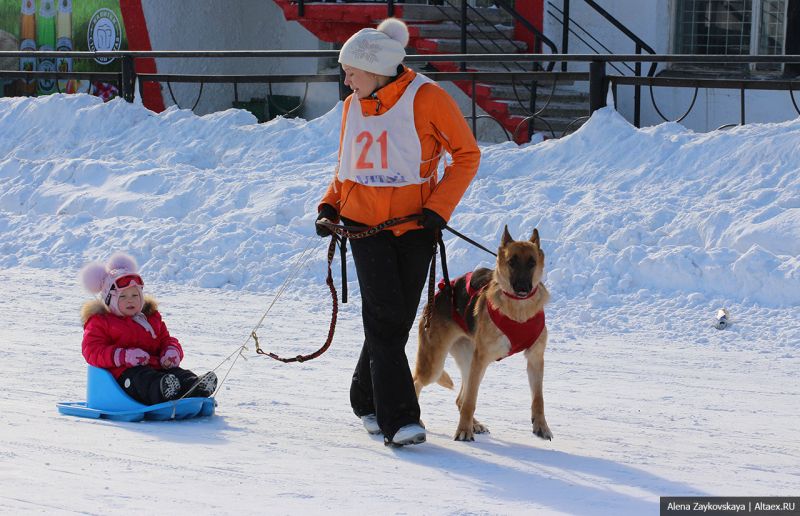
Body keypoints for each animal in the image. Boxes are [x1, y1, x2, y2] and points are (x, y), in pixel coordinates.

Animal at [413, 226, 551, 442]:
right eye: (512, 262)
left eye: (531, 263)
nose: (522, 288)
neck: (518, 311)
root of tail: (438, 294)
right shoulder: (482, 359)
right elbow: (471, 402)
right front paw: (463, 430)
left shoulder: (535, 359)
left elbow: (539, 399)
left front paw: (541, 426)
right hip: (436, 365)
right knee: (418, 383)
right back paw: (417, 421)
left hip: (468, 361)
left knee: (460, 398)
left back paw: (475, 424)